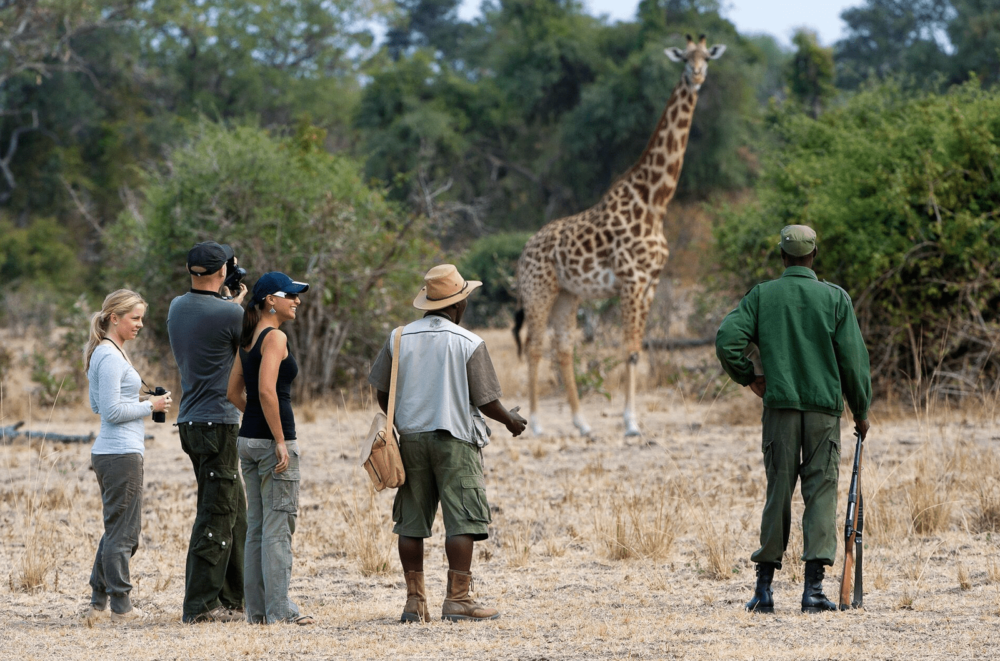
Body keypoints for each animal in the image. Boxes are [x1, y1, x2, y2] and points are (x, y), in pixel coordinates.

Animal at [512, 36, 724, 438]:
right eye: (684, 58)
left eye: (706, 57)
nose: (698, 76)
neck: (655, 201)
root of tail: (524, 250)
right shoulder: (631, 280)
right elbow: (628, 349)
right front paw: (630, 423)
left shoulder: (650, 283)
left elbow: (637, 350)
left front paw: (630, 419)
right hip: (538, 290)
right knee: (534, 346)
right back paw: (536, 423)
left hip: (567, 294)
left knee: (563, 348)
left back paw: (582, 424)